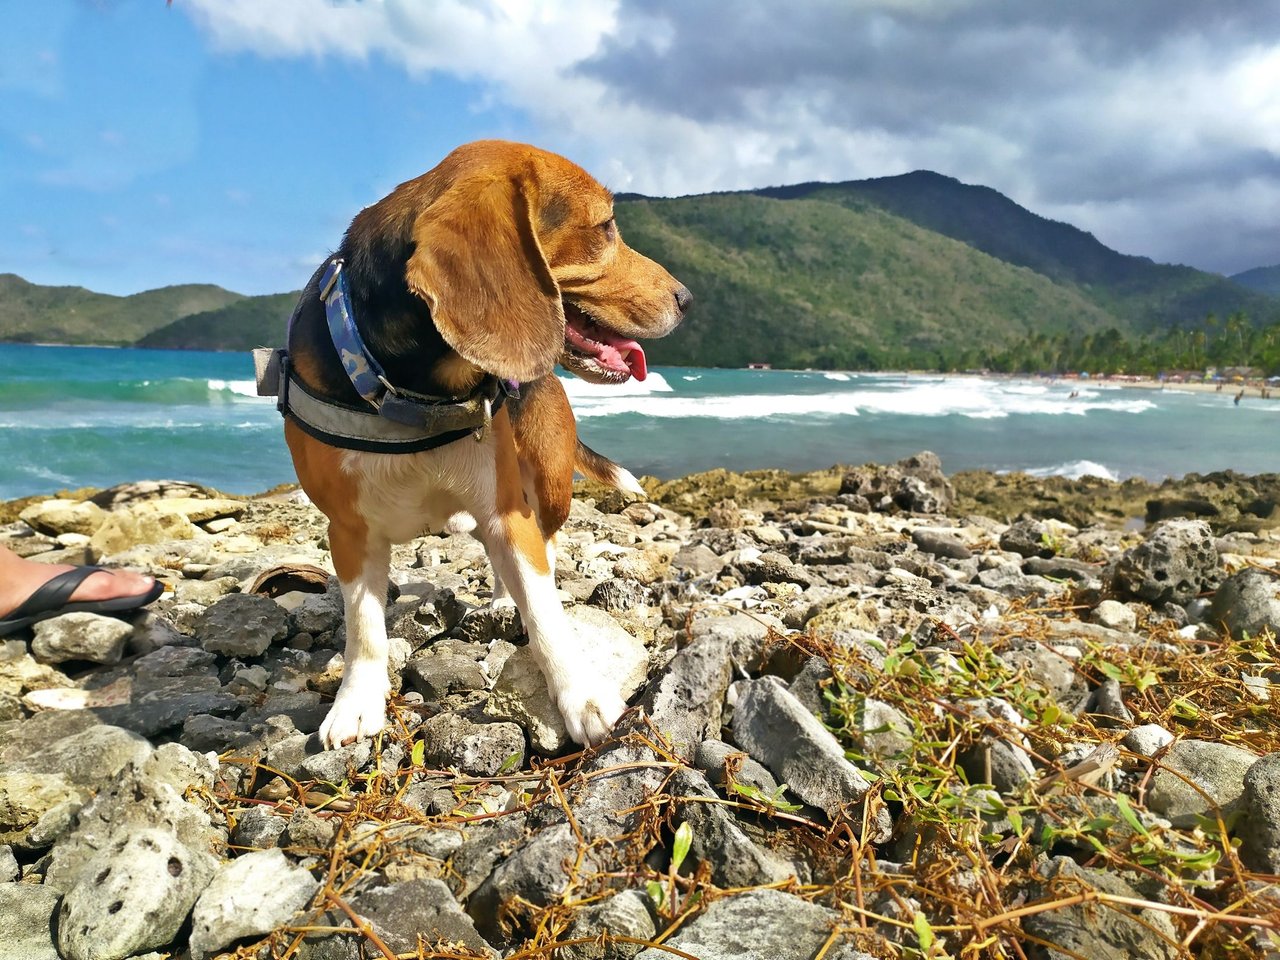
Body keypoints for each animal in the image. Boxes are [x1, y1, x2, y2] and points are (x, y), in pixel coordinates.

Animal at [284, 140, 691, 752]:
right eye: (605, 227)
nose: (687, 299)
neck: (420, 389)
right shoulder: (348, 529)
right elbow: (364, 628)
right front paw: (355, 703)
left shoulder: (506, 510)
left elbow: (547, 614)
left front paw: (581, 697)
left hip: (546, 483)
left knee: (541, 546)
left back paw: (509, 600)